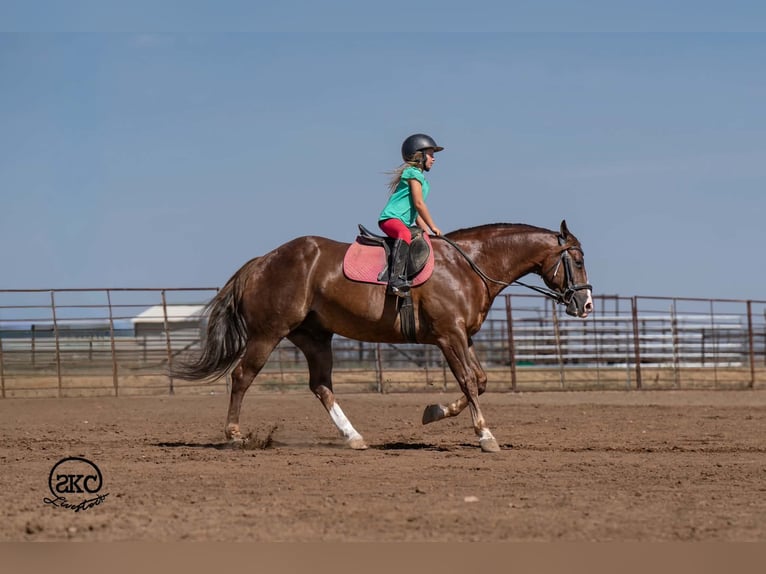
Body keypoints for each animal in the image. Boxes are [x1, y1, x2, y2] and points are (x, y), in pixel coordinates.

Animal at [171, 220, 593, 453]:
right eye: (578, 259)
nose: (586, 304)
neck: (468, 265)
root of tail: (262, 261)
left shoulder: (464, 337)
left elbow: (481, 380)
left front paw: (435, 412)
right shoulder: (449, 337)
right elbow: (470, 382)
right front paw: (485, 435)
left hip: (314, 337)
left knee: (321, 385)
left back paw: (353, 436)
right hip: (268, 333)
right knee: (243, 376)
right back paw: (234, 434)